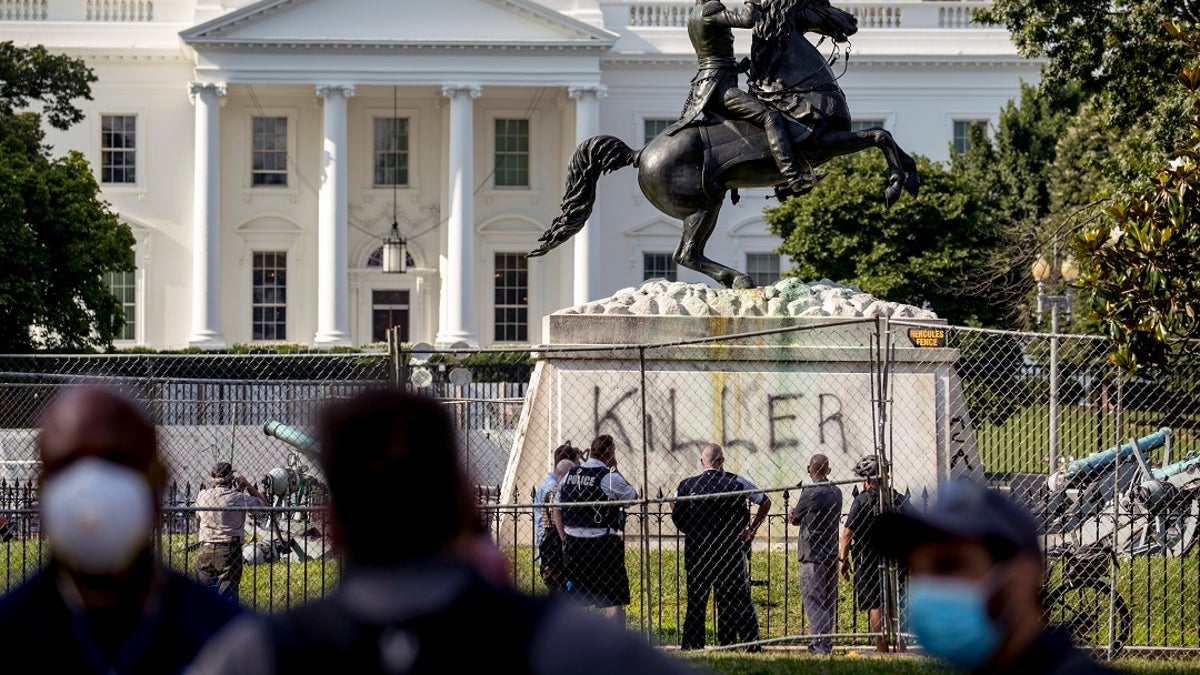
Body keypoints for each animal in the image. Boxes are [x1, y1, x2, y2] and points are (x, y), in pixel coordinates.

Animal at [528, 0, 916, 285]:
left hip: (707, 204)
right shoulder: (823, 142)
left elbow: (888, 139)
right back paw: (740, 278)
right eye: (820, 3)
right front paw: (895, 185)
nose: (852, 19)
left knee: (691, 253)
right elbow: (880, 136)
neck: (798, 89)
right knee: (684, 255)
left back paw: (735, 279)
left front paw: (909, 179)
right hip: (701, 205)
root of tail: (640, 153)